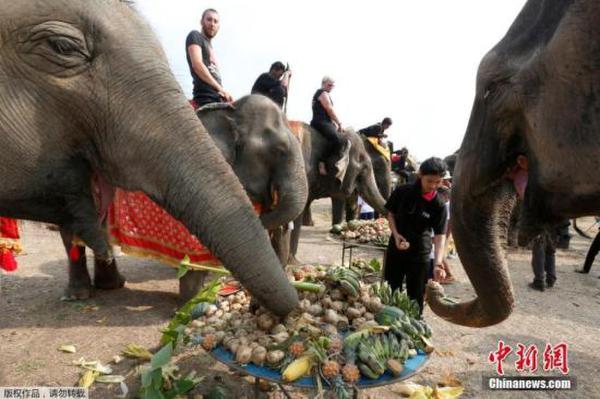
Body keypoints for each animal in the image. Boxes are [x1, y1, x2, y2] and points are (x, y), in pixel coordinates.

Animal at [0, 0, 298, 318]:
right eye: (63, 47)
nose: (256, 307)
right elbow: (193, 252)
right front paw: (193, 305)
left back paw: (111, 285)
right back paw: (80, 295)